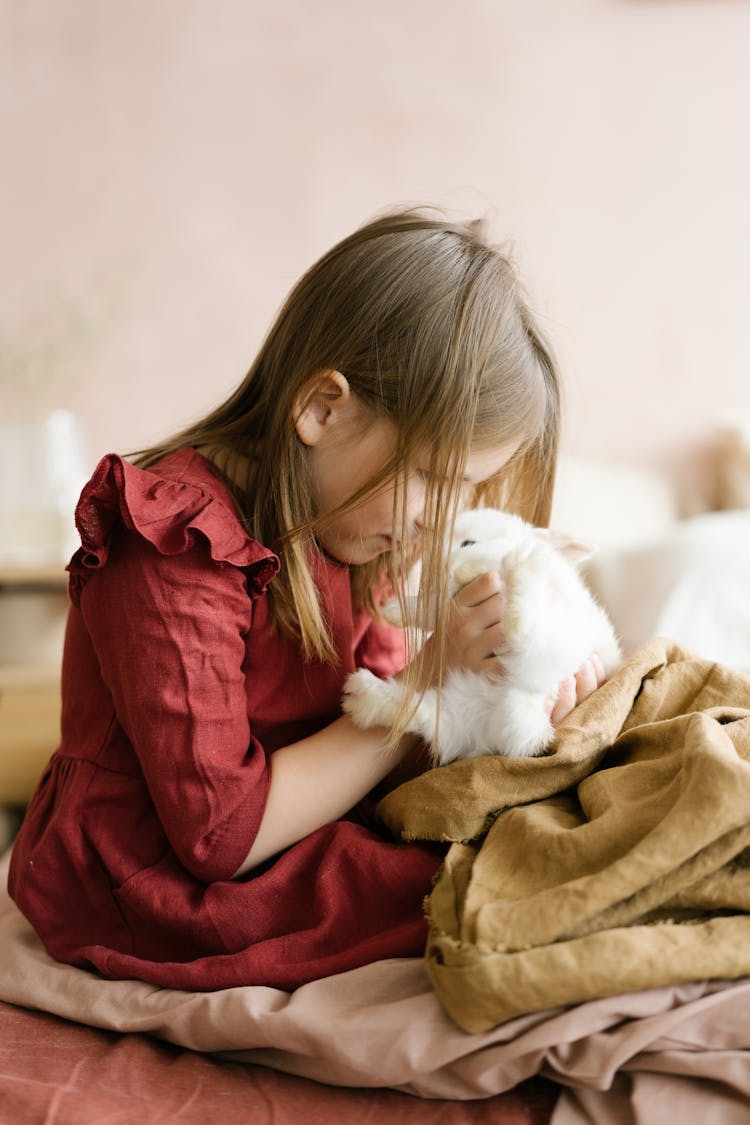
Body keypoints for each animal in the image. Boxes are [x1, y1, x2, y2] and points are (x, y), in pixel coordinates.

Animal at [341, 510, 620, 765]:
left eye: (468, 542)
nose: (436, 566)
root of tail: (524, 701)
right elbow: (430, 608)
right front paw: (393, 612)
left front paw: (468, 569)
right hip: (465, 713)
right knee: (431, 718)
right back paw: (365, 695)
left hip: (555, 640)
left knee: (524, 632)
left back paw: (523, 565)